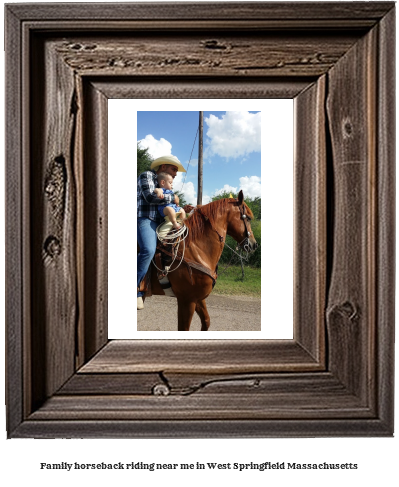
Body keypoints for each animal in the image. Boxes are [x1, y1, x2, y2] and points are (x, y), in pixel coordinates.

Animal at [147, 191, 260, 332]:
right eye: (248, 218)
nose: (254, 245)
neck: (196, 249)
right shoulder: (187, 300)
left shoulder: (198, 298)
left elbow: (206, 322)